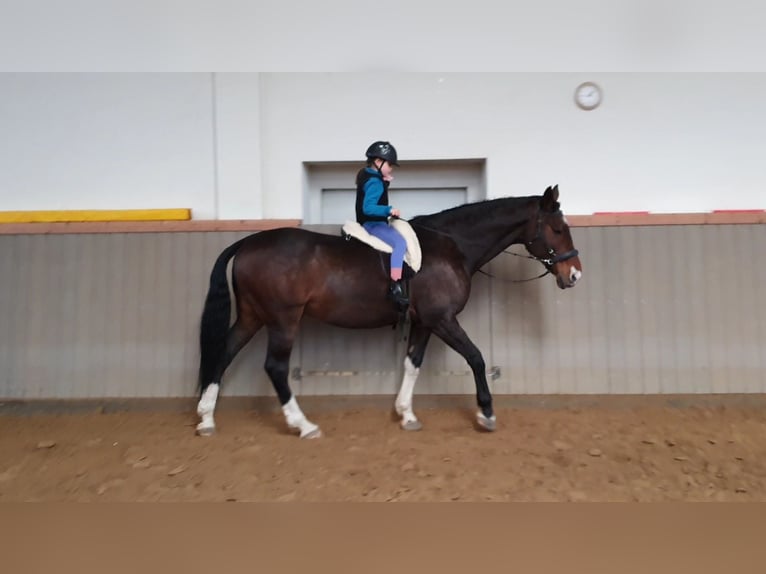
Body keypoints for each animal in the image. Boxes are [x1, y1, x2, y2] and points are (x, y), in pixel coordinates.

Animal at [196, 187, 584, 438]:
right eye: (557, 228)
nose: (575, 275)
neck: (452, 246)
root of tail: (248, 241)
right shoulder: (443, 319)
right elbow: (476, 357)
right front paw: (486, 413)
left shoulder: (425, 322)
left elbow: (413, 363)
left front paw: (406, 414)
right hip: (283, 320)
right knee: (275, 367)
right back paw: (303, 425)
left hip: (252, 316)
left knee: (223, 353)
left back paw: (206, 419)